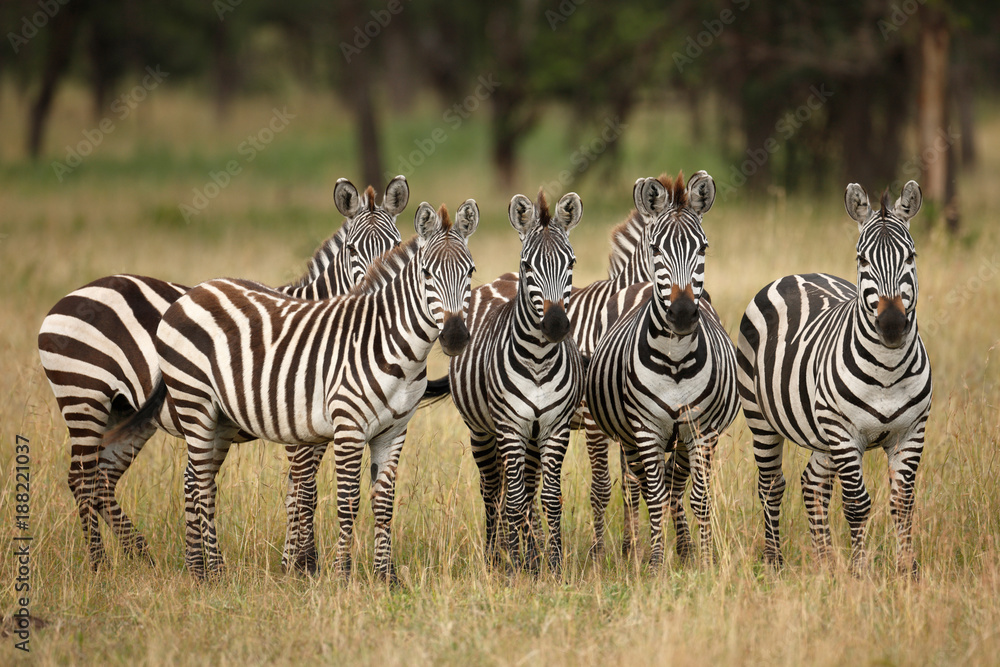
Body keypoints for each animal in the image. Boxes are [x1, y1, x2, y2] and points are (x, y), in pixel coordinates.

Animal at [37, 175, 409, 569]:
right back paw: (100, 564)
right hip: (84, 396)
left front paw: (294, 564)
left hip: (121, 411)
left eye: (396, 245)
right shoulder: (299, 422)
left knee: (102, 477)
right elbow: (304, 491)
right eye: (352, 249)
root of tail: (69, 297)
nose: (374, 289)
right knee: (82, 478)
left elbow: (297, 491)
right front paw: (304, 565)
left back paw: (140, 554)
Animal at [103, 200, 478, 581]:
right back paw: (205, 572)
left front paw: (386, 577)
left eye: (471, 272)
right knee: (198, 485)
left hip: (214, 418)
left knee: (191, 480)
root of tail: (195, 292)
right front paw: (342, 575)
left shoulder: (394, 431)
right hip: (193, 403)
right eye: (427, 274)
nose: (455, 337)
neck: (391, 346)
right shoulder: (348, 427)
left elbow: (383, 503)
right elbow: (345, 501)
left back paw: (203, 569)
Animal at [442, 190, 583, 574]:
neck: (538, 359)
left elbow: (548, 496)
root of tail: (501, 279)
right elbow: (514, 499)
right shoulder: (509, 427)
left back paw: (530, 556)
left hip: (530, 437)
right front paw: (513, 566)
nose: (556, 325)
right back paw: (496, 555)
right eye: (528, 265)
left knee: (527, 489)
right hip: (482, 431)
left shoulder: (555, 427)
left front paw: (552, 564)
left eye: (571, 263)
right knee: (493, 489)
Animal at [585, 172, 739, 568]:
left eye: (703, 248)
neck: (675, 359)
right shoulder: (646, 429)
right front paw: (654, 563)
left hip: (682, 438)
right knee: (637, 485)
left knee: (674, 484)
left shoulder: (701, 430)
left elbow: (698, 496)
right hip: (626, 434)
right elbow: (652, 495)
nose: (682, 314)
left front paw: (705, 561)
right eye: (656, 249)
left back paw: (682, 548)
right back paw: (630, 550)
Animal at [736, 180, 931, 576]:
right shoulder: (844, 433)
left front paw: (907, 571)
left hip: (822, 436)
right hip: (761, 418)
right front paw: (859, 573)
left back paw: (825, 561)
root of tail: (798, 273)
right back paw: (774, 561)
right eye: (863, 261)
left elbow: (903, 503)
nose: (891, 325)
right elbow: (857, 504)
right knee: (771, 485)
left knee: (812, 483)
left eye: (911, 257)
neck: (888, 369)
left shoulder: (912, 431)